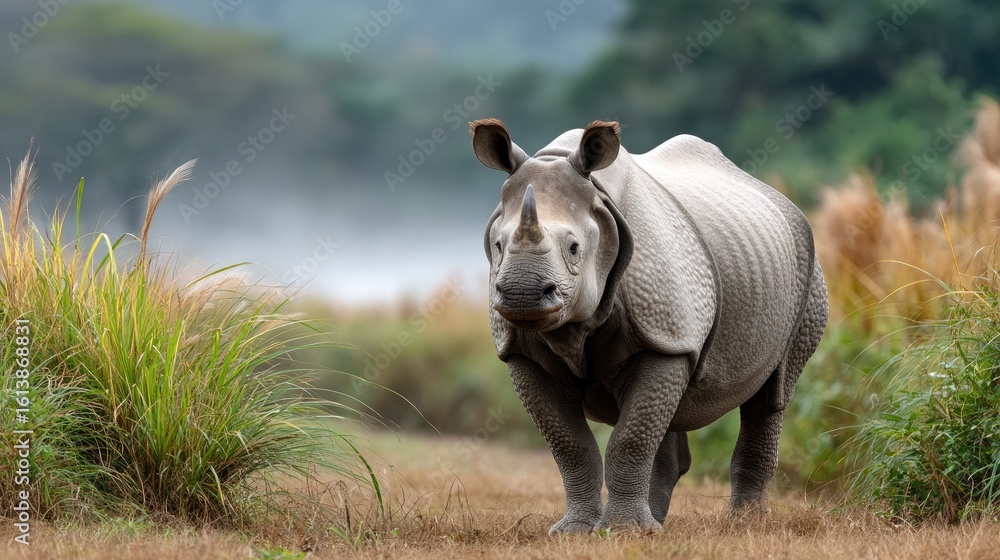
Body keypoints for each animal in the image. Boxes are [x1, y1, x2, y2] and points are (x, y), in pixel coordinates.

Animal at [469, 118, 828, 534]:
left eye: (574, 248)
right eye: (497, 245)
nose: (521, 294)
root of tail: (777, 197)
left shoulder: (663, 335)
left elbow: (630, 440)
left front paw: (622, 531)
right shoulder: (521, 352)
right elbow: (571, 446)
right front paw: (575, 531)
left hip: (807, 276)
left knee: (771, 394)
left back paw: (743, 523)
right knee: (673, 404)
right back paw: (657, 524)